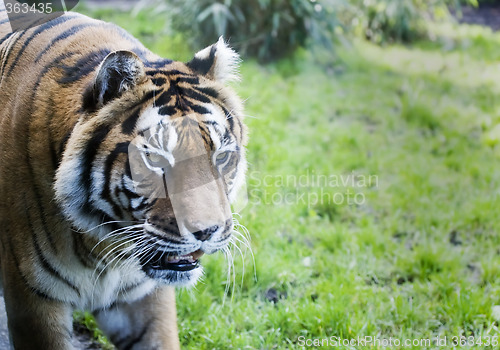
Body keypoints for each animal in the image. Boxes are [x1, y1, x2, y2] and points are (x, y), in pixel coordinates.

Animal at [0, 1, 248, 348]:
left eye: (221, 157)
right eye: (156, 159)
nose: (208, 231)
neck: (100, 245)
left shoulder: (144, 297)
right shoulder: (33, 299)